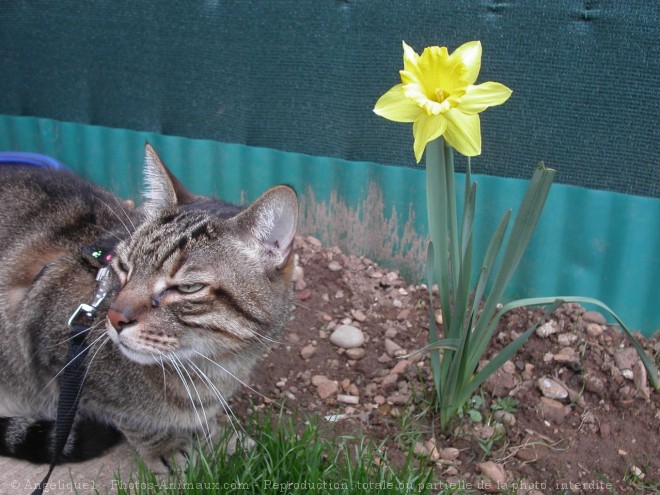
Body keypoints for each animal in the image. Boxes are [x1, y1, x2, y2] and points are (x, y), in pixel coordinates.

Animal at [0, 144, 296, 472]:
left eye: (187, 288)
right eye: (123, 267)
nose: (115, 318)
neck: (212, 364)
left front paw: (215, 437)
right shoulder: (55, 361)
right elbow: (128, 417)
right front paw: (166, 444)